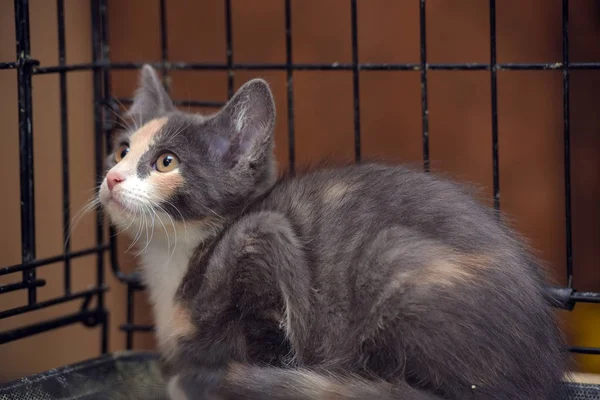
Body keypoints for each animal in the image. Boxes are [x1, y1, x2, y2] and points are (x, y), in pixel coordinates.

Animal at [97, 64, 568, 398]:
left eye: (166, 162)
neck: (174, 255)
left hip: (390, 259)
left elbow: (270, 339)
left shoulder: (266, 238)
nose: (113, 178)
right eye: (121, 151)